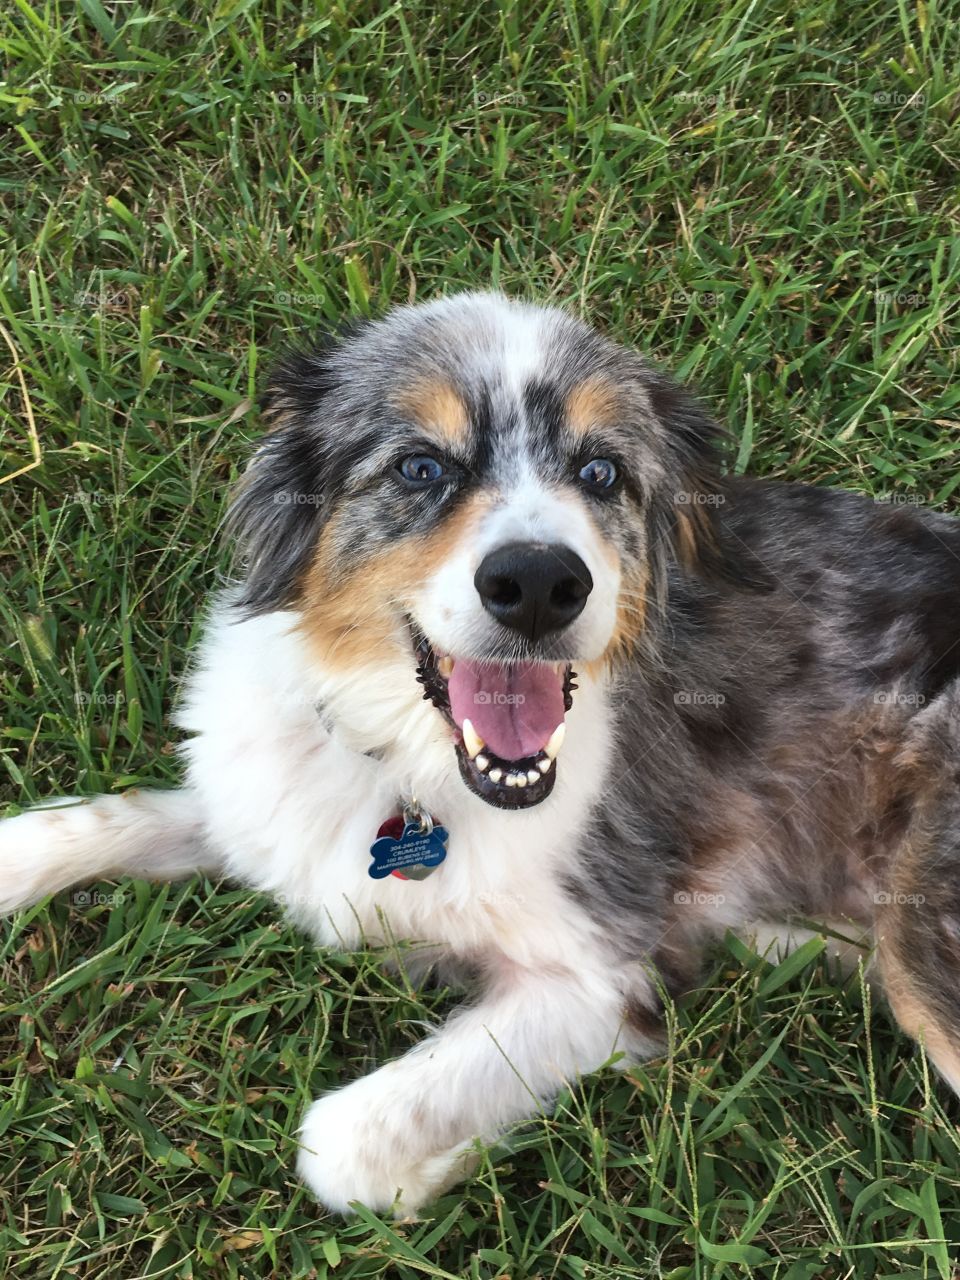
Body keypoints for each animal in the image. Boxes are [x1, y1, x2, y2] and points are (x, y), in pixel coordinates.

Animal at [1, 293, 960, 1218]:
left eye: (601, 472)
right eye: (421, 468)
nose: (538, 583)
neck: (408, 764)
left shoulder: (598, 976)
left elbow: (343, 1143)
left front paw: (436, 1167)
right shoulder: (262, 804)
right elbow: (95, 820)